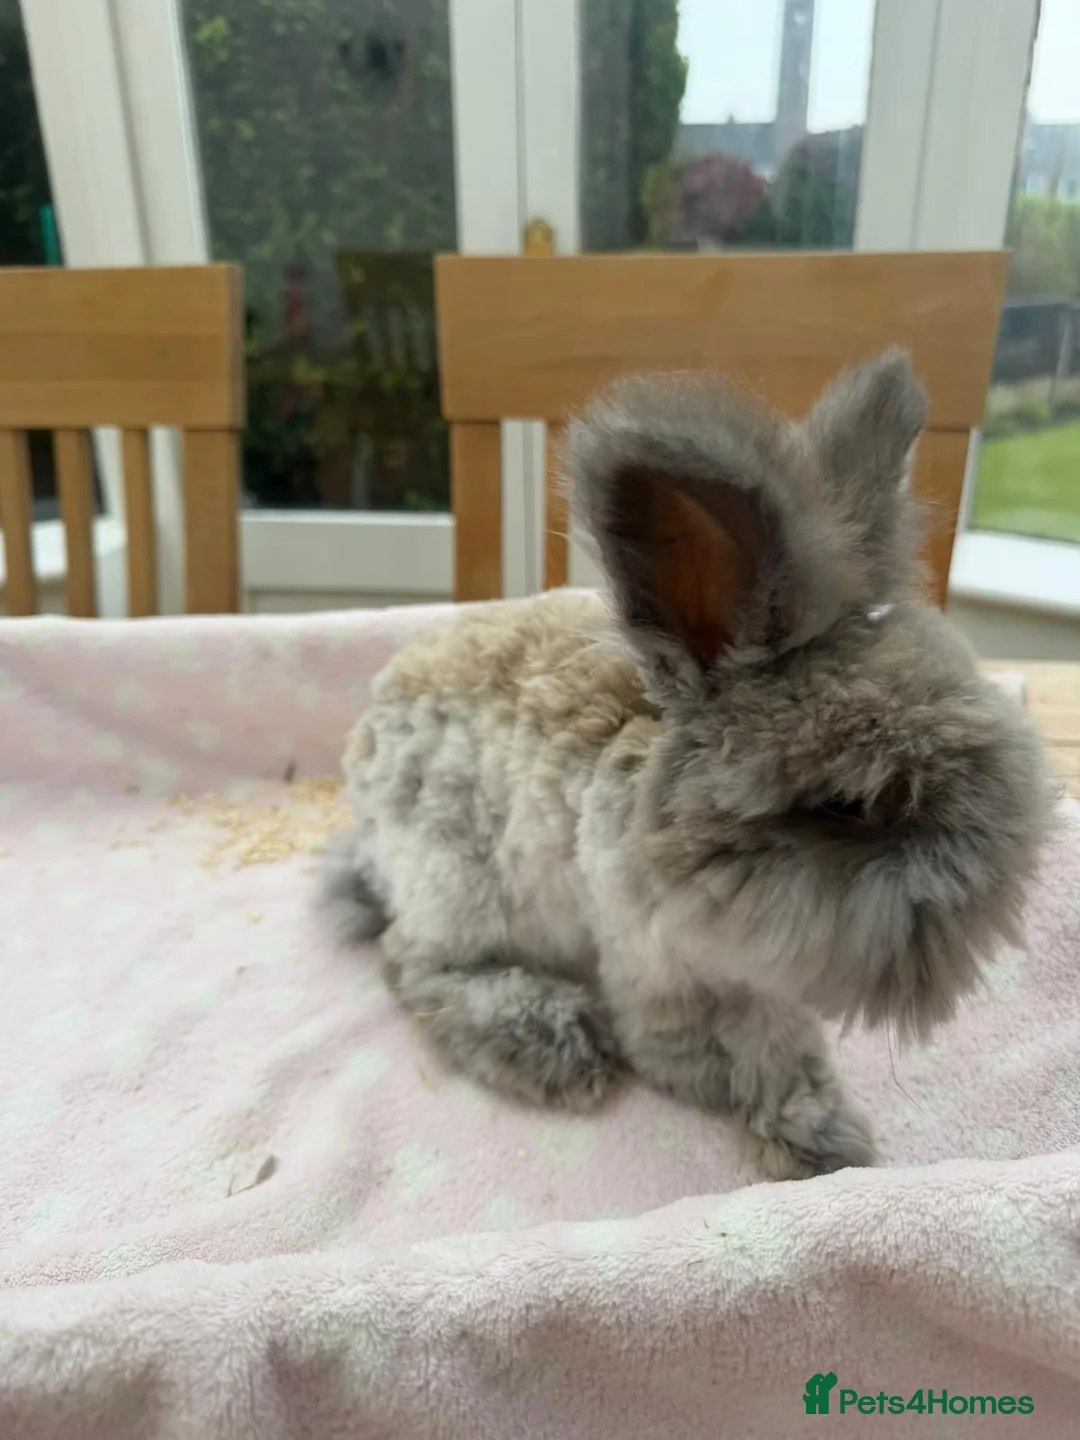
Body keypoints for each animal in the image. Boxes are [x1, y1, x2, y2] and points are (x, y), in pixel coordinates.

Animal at [325, 349, 1054, 1179]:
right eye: (853, 808)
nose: (996, 895)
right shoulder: (649, 962)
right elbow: (684, 1042)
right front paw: (751, 1104)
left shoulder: (757, 981)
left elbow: (780, 1047)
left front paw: (824, 1137)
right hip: (461, 884)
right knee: (412, 963)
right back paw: (552, 1043)